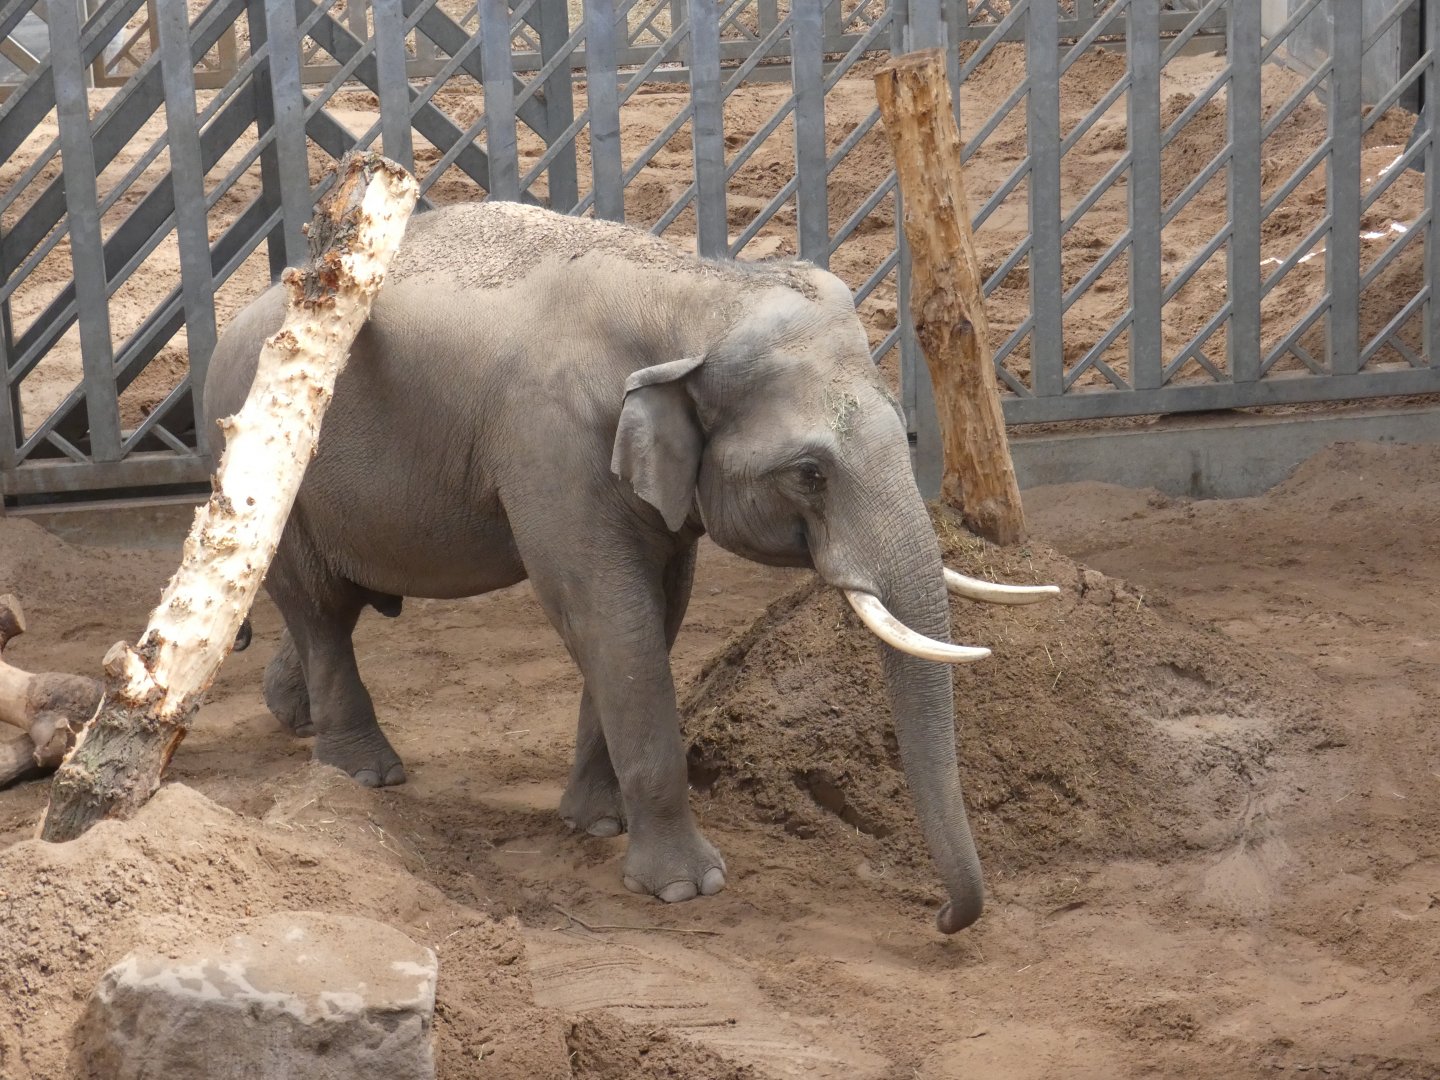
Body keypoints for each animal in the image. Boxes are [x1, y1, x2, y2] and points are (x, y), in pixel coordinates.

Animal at [205, 200, 1057, 933]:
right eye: (811, 473)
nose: (943, 918)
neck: (694, 293)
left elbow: (658, 609)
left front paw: (595, 824)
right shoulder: (549, 443)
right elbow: (609, 615)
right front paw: (686, 889)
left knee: (333, 606)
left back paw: (295, 716)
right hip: (269, 473)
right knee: (321, 609)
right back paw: (365, 776)